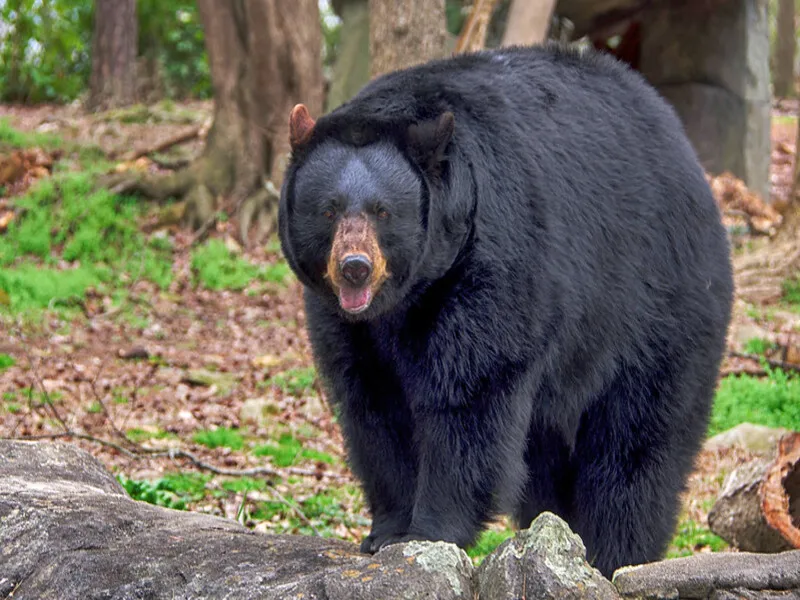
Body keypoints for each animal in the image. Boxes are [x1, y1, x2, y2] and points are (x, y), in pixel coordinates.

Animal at [278, 43, 736, 576]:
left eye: (382, 211)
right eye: (329, 209)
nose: (355, 268)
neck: (408, 296)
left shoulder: (493, 263)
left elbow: (469, 398)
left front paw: (430, 530)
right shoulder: (346, 324)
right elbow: (374, 406)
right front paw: (386, 530)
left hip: (657, 306)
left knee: (635, 443)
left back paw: (615, 554)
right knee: (549, 462)